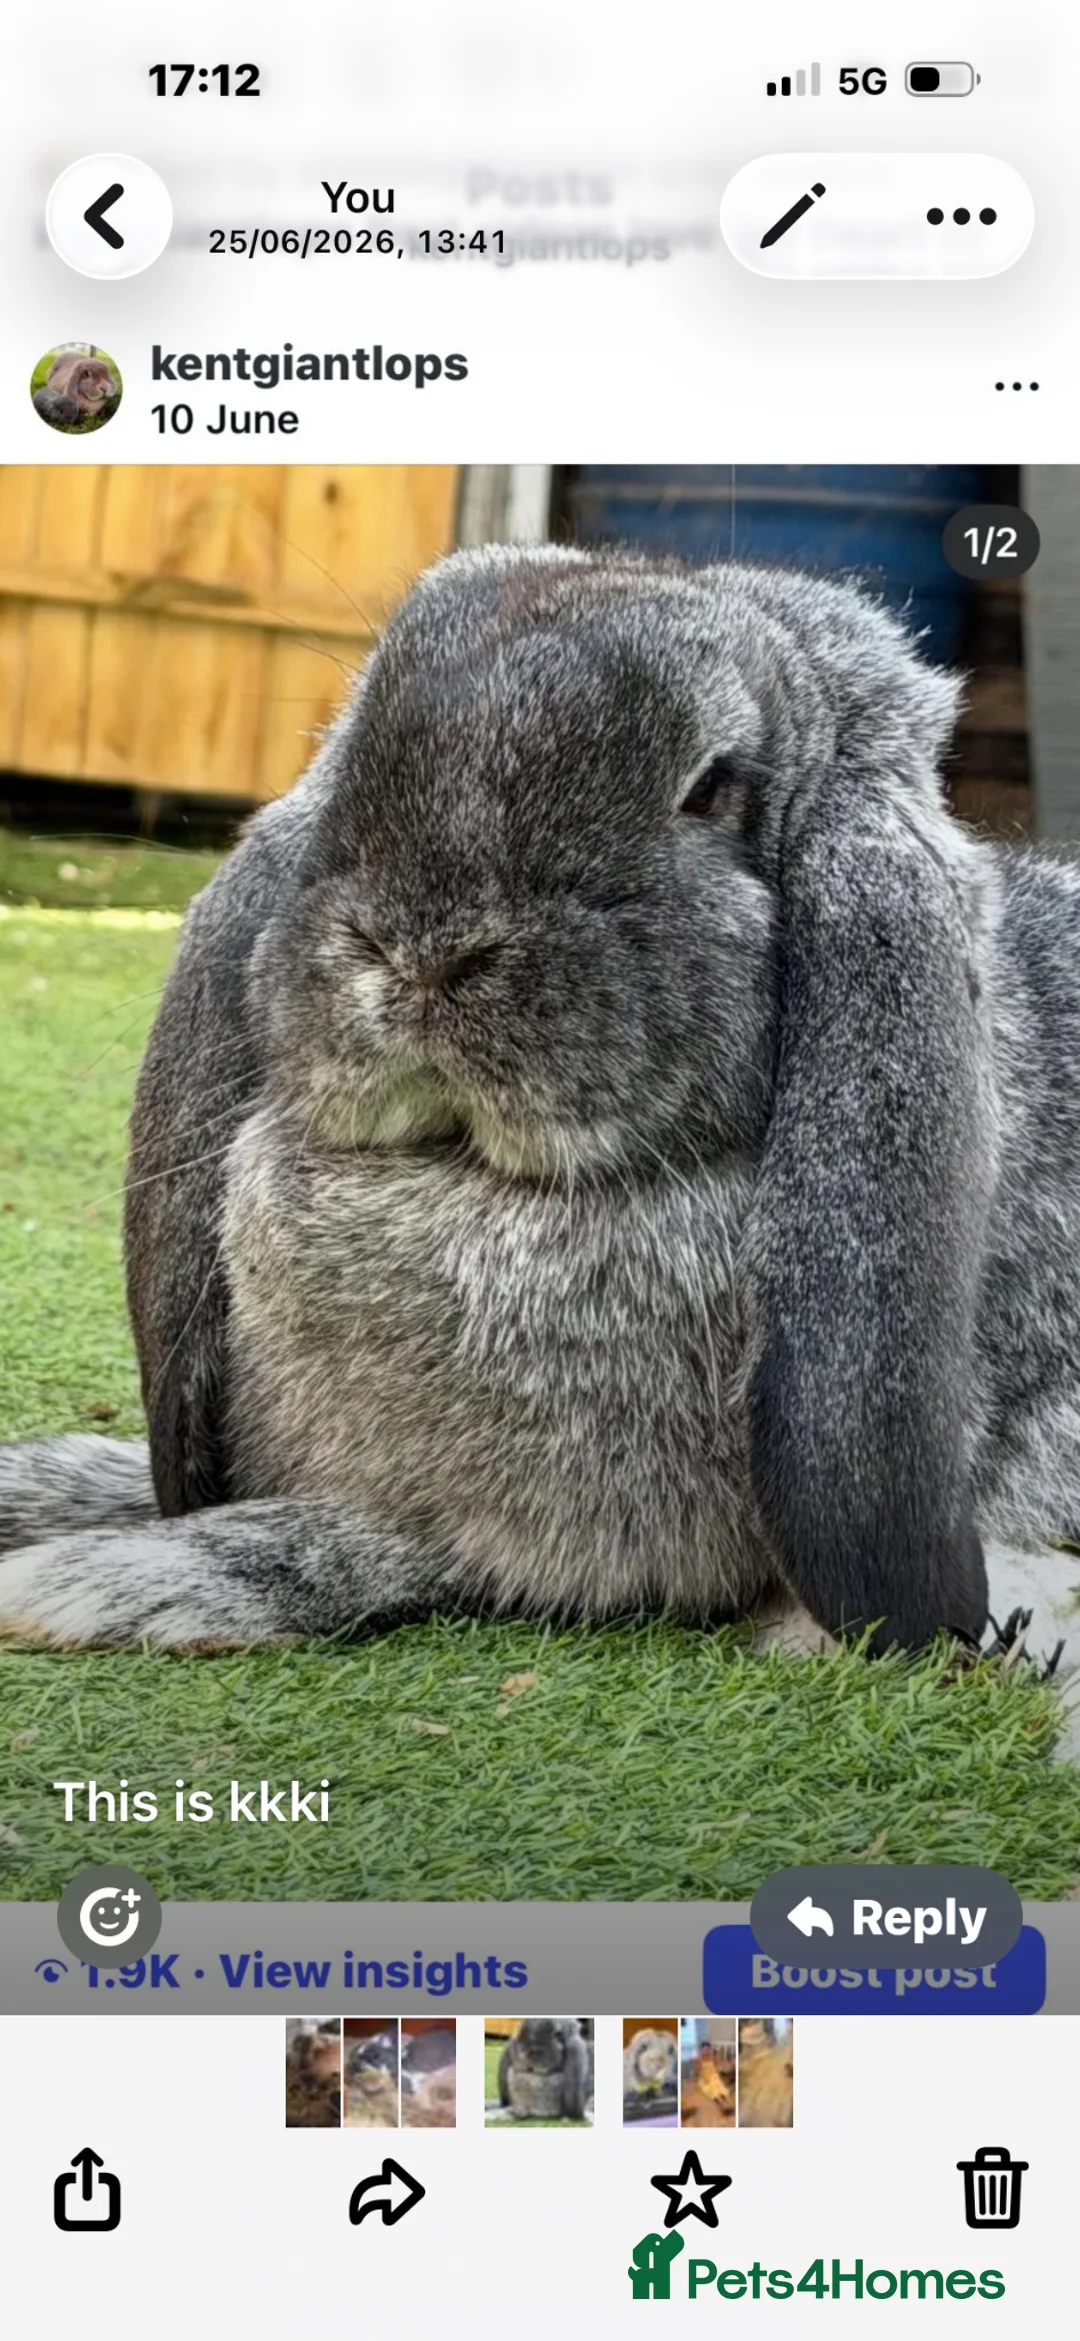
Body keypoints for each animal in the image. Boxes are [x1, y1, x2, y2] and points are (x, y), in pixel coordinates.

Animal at [2, 542, 1080, 1666]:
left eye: (710, 789)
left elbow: (349, 1545)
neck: (467, 1177)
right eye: (353, 753)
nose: (422, 950)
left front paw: (108, 1580)